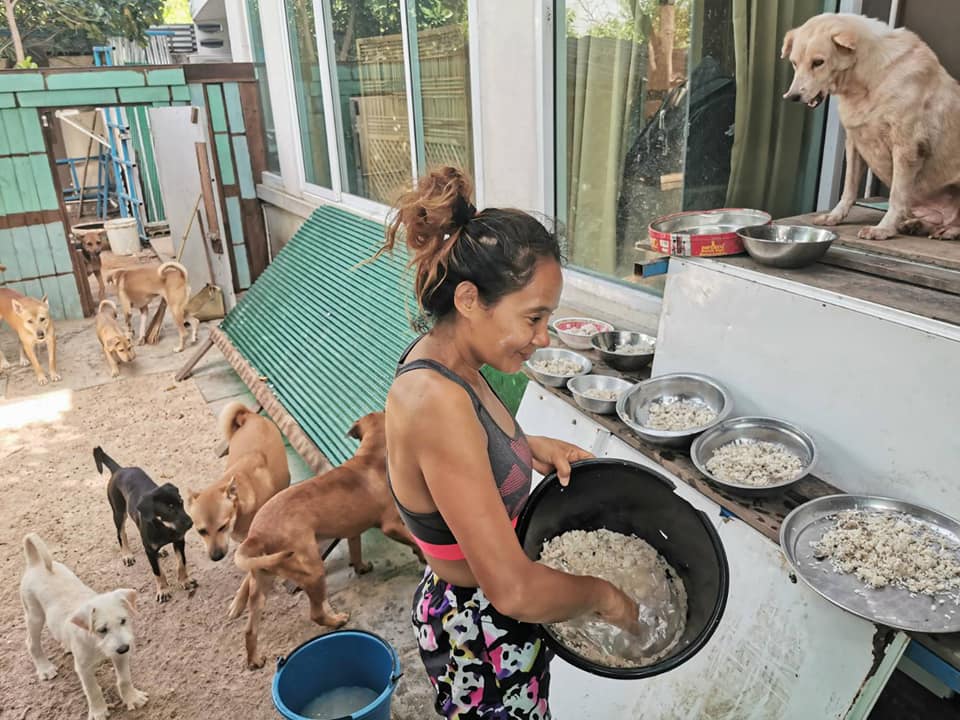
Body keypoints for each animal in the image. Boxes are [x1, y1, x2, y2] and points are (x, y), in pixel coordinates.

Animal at [95, 448, 197, 600]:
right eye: (169, 509)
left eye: (181, 503)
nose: (191, 523)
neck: (164, 528)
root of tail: (119, 469)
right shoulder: (149, 551)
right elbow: (158, 572)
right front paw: (163, 591)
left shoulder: (179, 541)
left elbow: (181, 563)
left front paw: (185, 581)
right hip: (118, 512)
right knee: (121, 534)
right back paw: (127, 555)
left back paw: (159, 551)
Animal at [229, 410, 424, 668]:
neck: (370, 456)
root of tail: (256, 535)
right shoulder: (391, 526)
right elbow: (414, 540)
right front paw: (422, 557)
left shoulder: (352, 530)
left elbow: (355, 549)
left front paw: (361, 566)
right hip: (312, 571)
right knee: (316, 613)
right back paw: (337, 620)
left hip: (261, 585)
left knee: (250, 629)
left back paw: (254, 660)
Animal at [780, 11, 960, 242]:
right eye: (794, 63)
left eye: (818, 62)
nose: (792, 97)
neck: (867, 80)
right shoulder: (854, 143)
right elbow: (848, 189)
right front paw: (834, 216)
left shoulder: (906, 148)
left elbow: (896, 197)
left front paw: (884, 229)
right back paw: (917, 226)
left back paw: (947, 231)